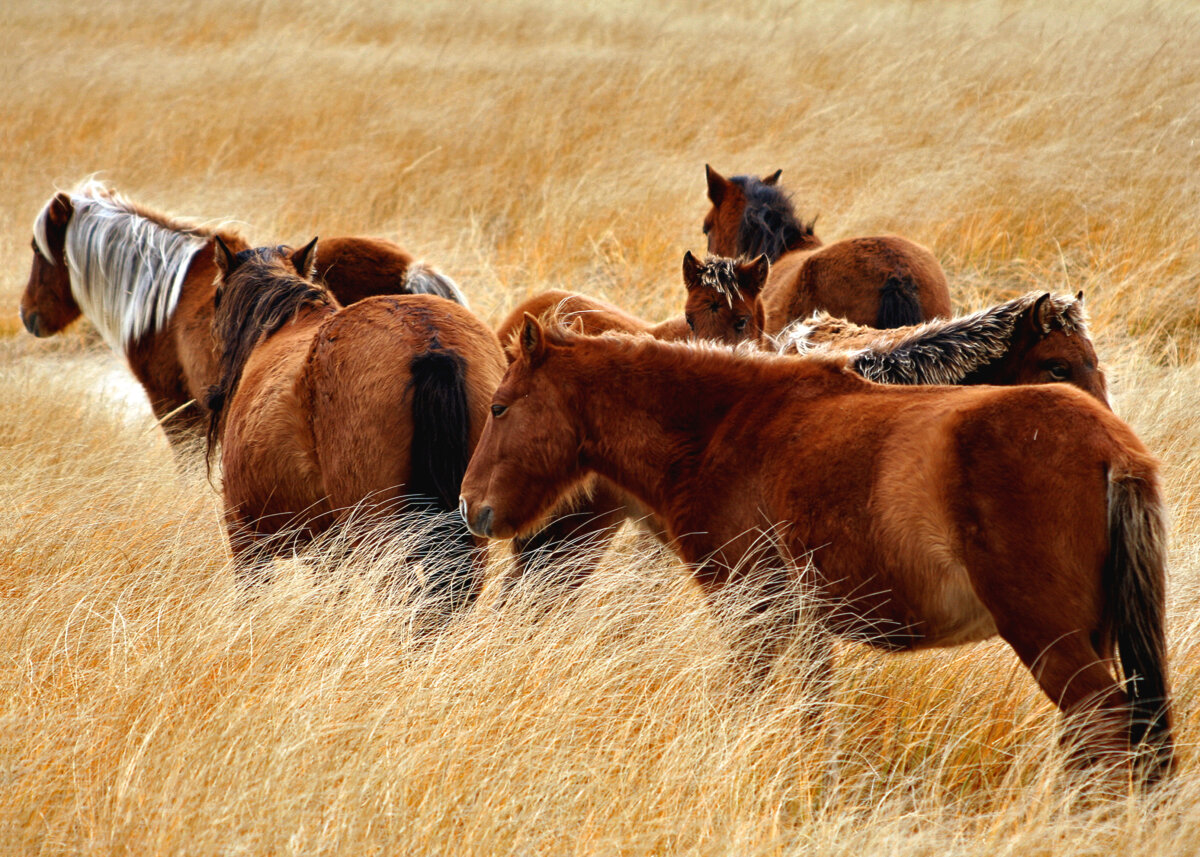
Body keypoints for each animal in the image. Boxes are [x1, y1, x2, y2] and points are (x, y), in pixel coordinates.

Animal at [460, 317, 1173, 785]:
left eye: (500, 407)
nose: (472, 507)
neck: (724, 427)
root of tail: (1113, 447)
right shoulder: (804, 628)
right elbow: (811, 717)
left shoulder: (750, 616)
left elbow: (740, 704)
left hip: (1049, 639)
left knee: (1102, 726)